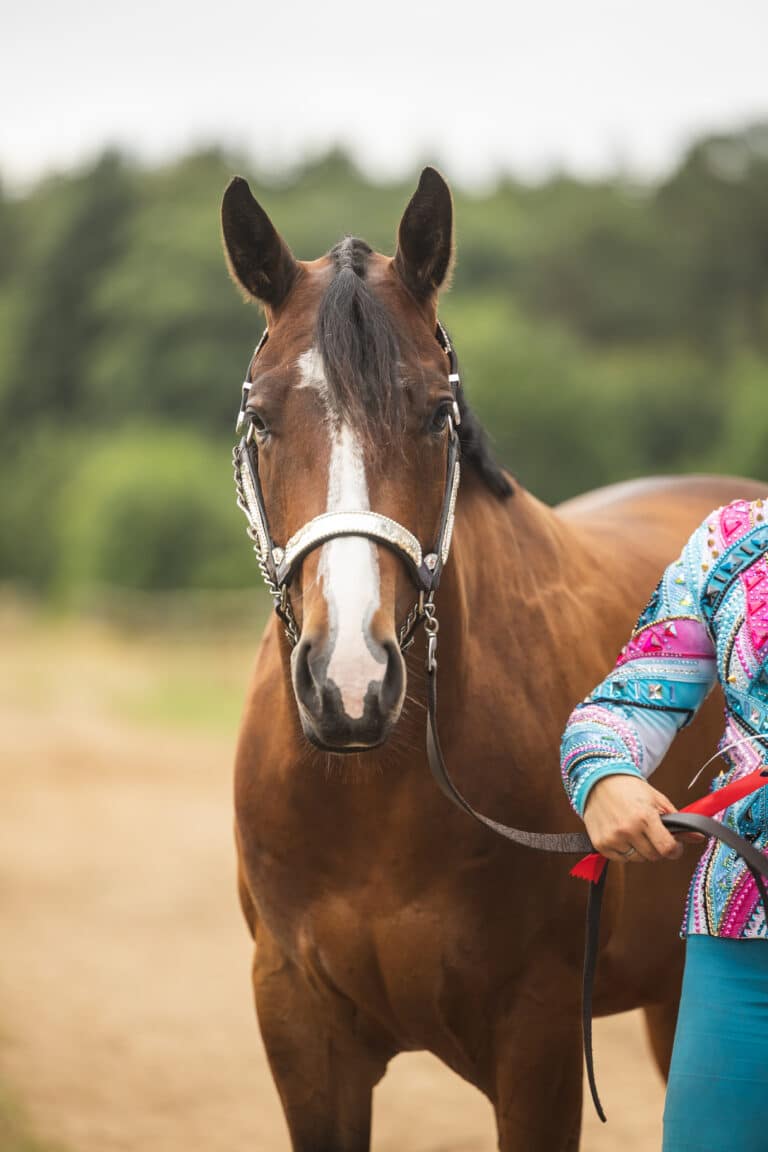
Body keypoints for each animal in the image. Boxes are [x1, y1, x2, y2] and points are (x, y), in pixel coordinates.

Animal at [222, 167, 765, 1151]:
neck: (374, 803)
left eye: (437, 412)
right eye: (260, 417)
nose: (350, 684)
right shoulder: (300, 1029)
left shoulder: (537, 1039)